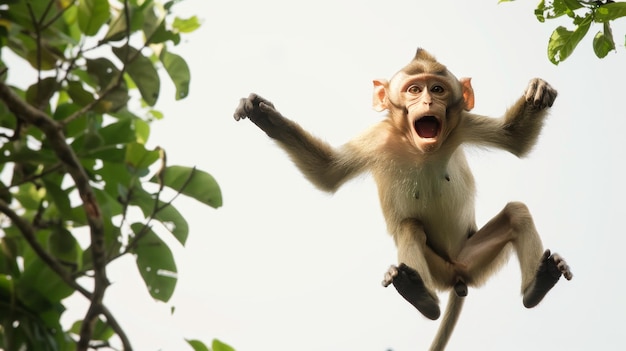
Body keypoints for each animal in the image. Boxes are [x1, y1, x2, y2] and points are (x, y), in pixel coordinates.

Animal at [230, 48, 572, 350]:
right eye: (414, 89)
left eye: (438, 89)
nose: (428, 100)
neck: (417, 146)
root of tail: (457, 276)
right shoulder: (376, 138)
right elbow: (327, 172)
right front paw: (266, 118)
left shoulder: (462, 126)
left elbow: (516, 140)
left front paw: (537, 91)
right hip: (438, 269)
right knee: (409, 226)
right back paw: (423, 297)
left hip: (474, 256)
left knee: (516, 212)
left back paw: (536, 285)